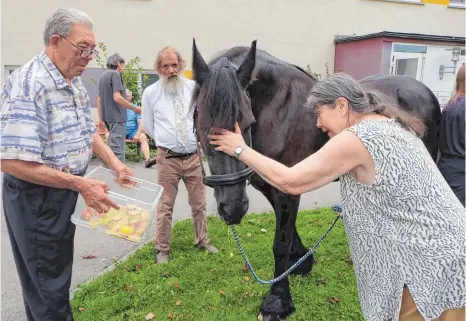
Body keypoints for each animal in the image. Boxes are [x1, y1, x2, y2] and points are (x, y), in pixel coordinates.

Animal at [189, 39, 440, 318]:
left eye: (247, 123)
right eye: (200, 124)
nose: (232, 208)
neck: (277, 109)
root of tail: (425, 91)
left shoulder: (287, 188)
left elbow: (280, 242)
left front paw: (277, 300)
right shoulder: (273, 183)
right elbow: (288, 232)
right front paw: (302, 263)